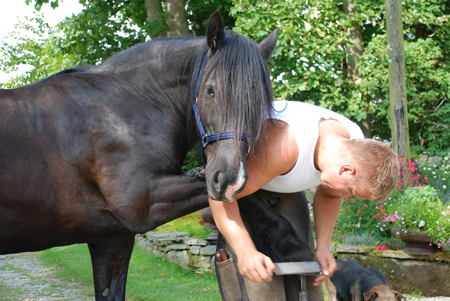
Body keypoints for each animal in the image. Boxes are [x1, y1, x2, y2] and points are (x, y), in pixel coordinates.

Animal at [0, 11, 278, 298]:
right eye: (211, 90)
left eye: (259, 102)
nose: (229, 179)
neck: (124, 107)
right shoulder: (144, 203)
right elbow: (250, 200)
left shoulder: (112, 240)